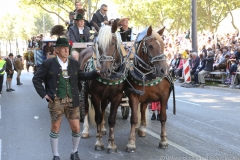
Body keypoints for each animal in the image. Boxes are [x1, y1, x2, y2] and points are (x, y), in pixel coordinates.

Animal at [79, 20, 127, 152]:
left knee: (104, 107)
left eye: (113, 43)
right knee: (85, 108)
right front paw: (99, 142)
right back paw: (85, 131)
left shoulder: (117, 96)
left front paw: (111, 144)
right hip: (84, 91)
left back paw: (103, 128)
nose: (105, 71)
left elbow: (111, 119)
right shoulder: (95, 96)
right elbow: (98, 117)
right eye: (98, 44)